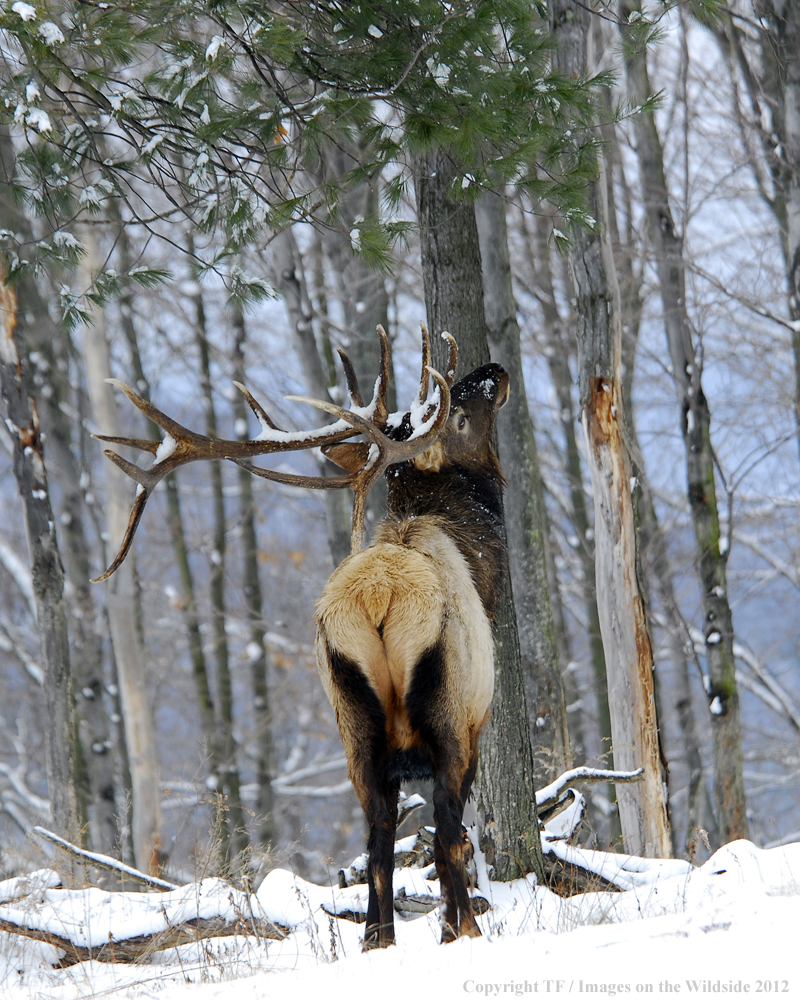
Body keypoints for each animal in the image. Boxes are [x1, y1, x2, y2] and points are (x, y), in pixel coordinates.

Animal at [94, 328, 506, 944]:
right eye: (456, 413)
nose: (495, 370)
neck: (482, 567)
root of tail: (378, 599)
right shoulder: (476, 719)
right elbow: (452, 837)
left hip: (353, 727)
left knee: (377, 840)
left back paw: (378, 938)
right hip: (446, 712)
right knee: (442, 828)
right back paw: (464, 932)